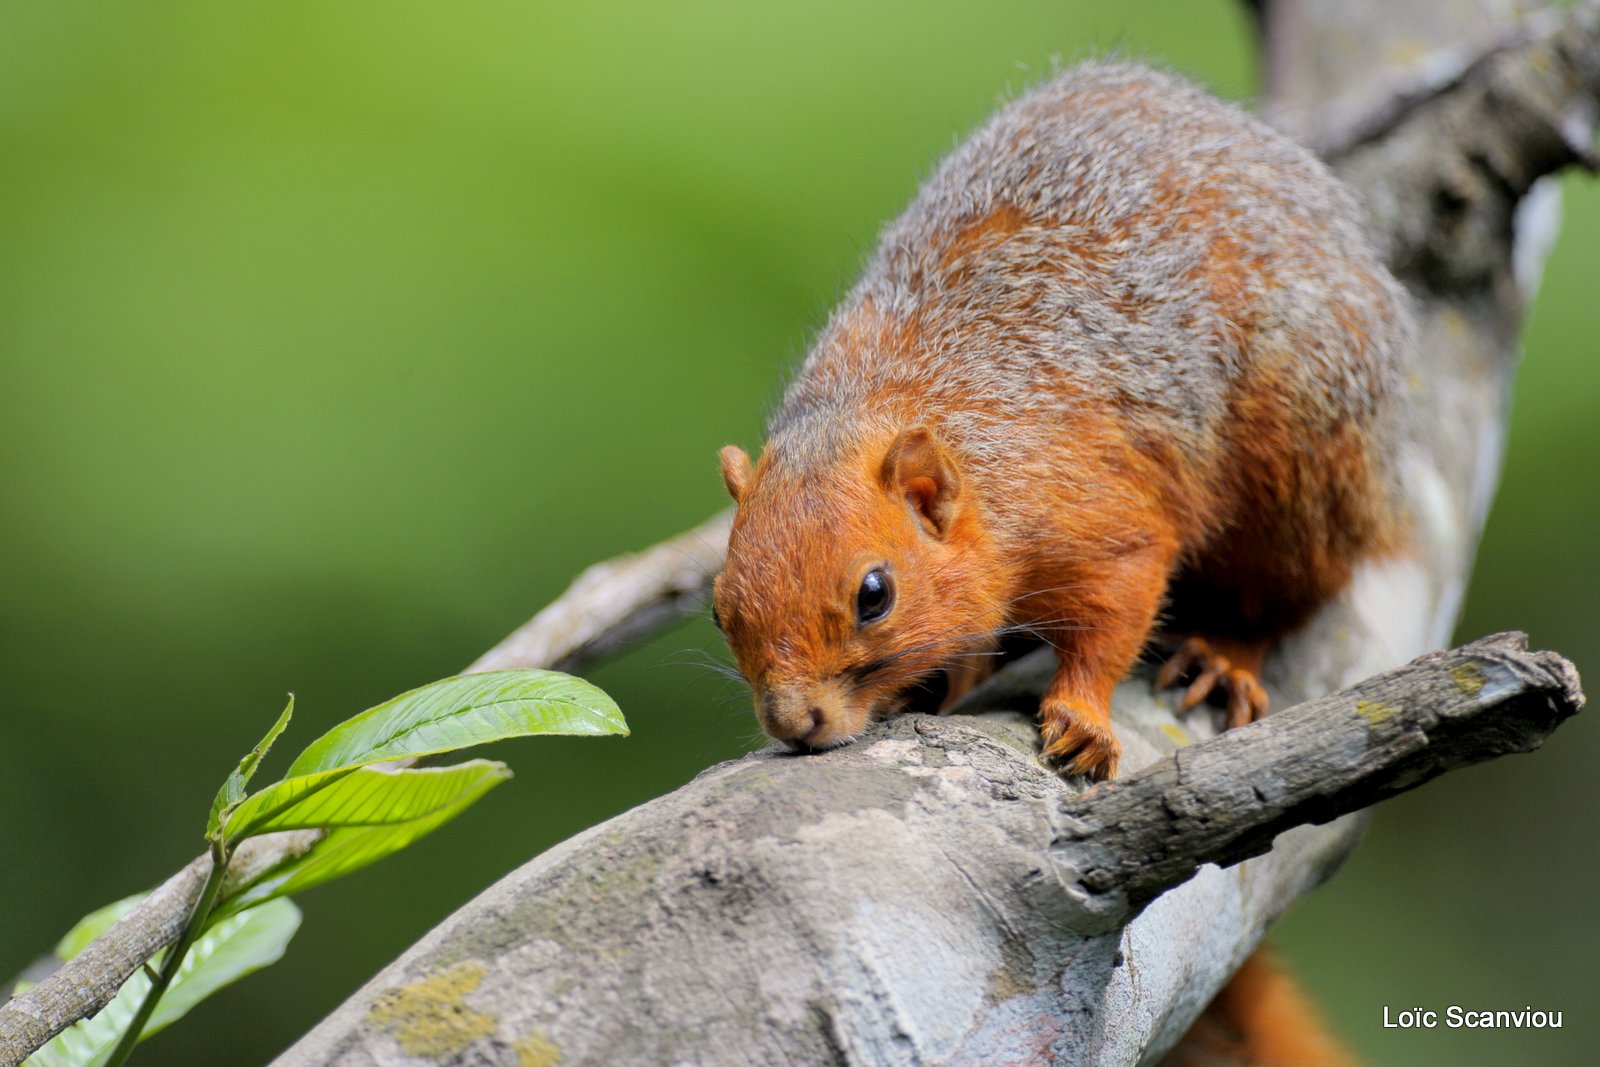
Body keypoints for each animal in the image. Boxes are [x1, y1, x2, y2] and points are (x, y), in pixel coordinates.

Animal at [713, 62, 1414, 780]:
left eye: (874, 594)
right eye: (718, 608)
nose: (792, 721)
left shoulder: (1100, 514)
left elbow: (1113, 618)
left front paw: (1082, 719)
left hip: (1302, 458)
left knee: (1285, 591)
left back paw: (1224, 654)